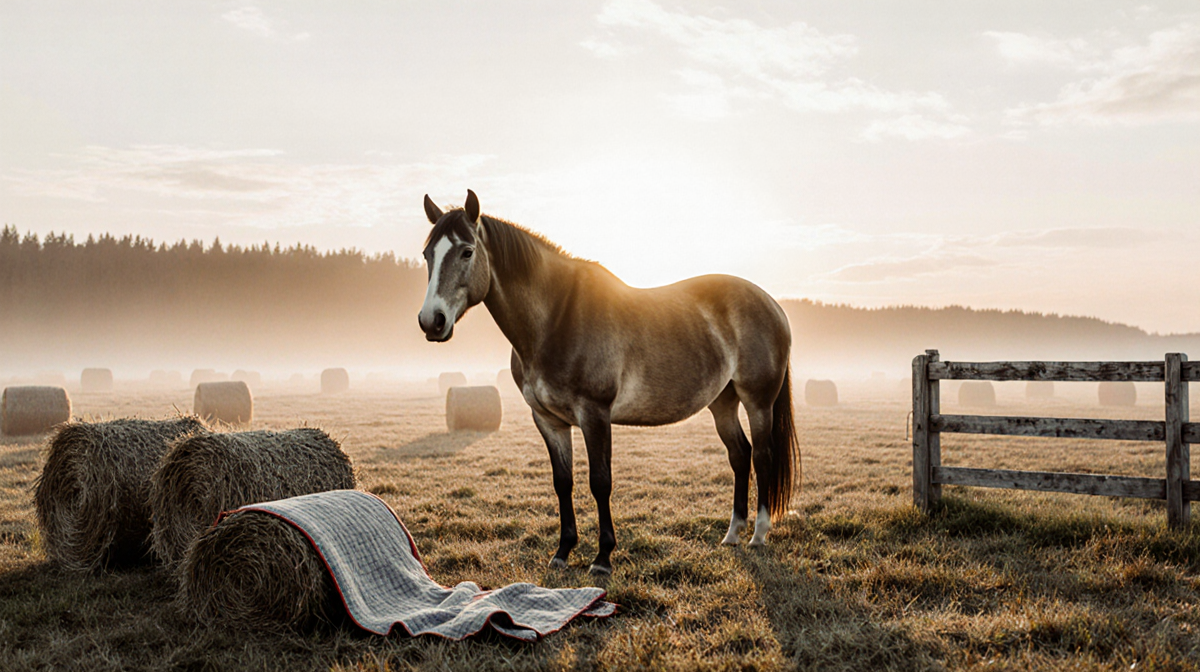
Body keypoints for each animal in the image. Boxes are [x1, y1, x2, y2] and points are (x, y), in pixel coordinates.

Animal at [418, 190, 799, 575]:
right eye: (427, 254)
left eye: (467, 251)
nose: (432, 321)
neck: (556, 319)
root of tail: (773, 306)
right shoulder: (549, 421)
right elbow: (563, 482)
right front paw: (563, 551)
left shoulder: (595, 414)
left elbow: (600, 482)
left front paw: (602, 557)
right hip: (722, 402)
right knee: (740, 454)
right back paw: (733, 533)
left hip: (758, 401)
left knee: (762, 456)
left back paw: (758, 534)